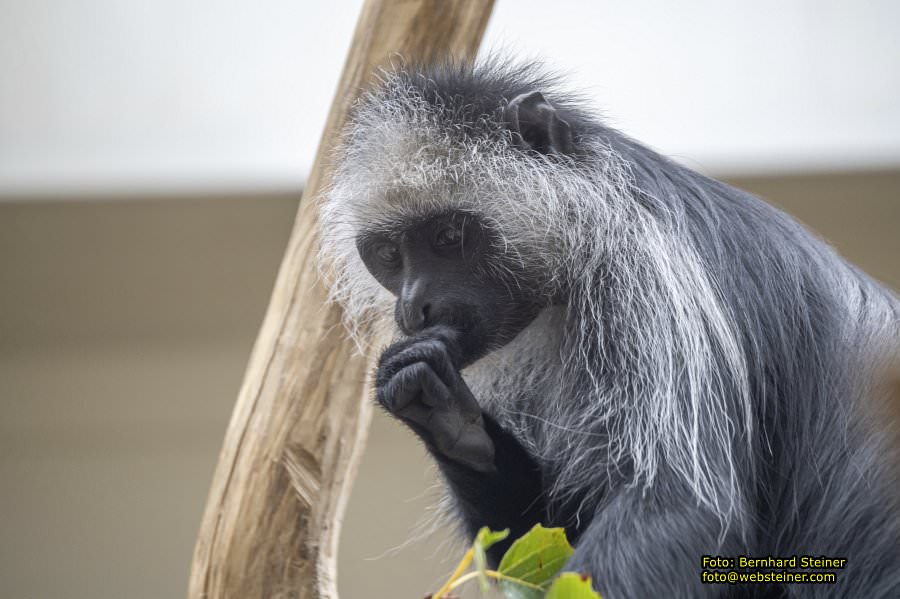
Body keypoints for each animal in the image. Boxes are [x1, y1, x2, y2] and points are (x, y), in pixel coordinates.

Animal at [318, 61, 900, 599]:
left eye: (447, 237)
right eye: (389, 255)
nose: (413, 307)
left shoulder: (652, 282)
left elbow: (679, 506)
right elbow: (544, 534)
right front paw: (444, 412)